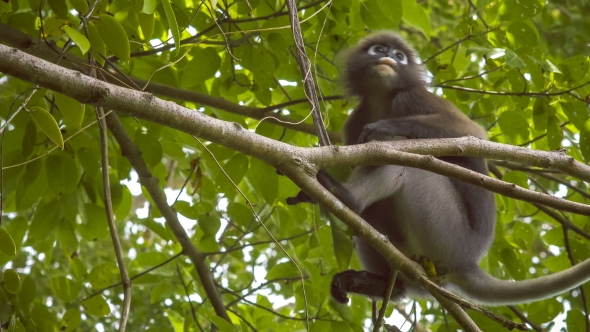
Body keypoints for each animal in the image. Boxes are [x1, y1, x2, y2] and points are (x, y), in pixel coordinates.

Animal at [288, 32, 590, 304]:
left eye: (399, 55)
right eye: (379, 49)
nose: (389, 57)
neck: (382, 98)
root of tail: (468, 263)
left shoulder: (411, 96)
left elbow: (469, 133)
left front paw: (384, 127)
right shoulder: (354, 121)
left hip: (447, 236)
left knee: (407, 162)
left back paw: (344, 195)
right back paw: (382, 284)